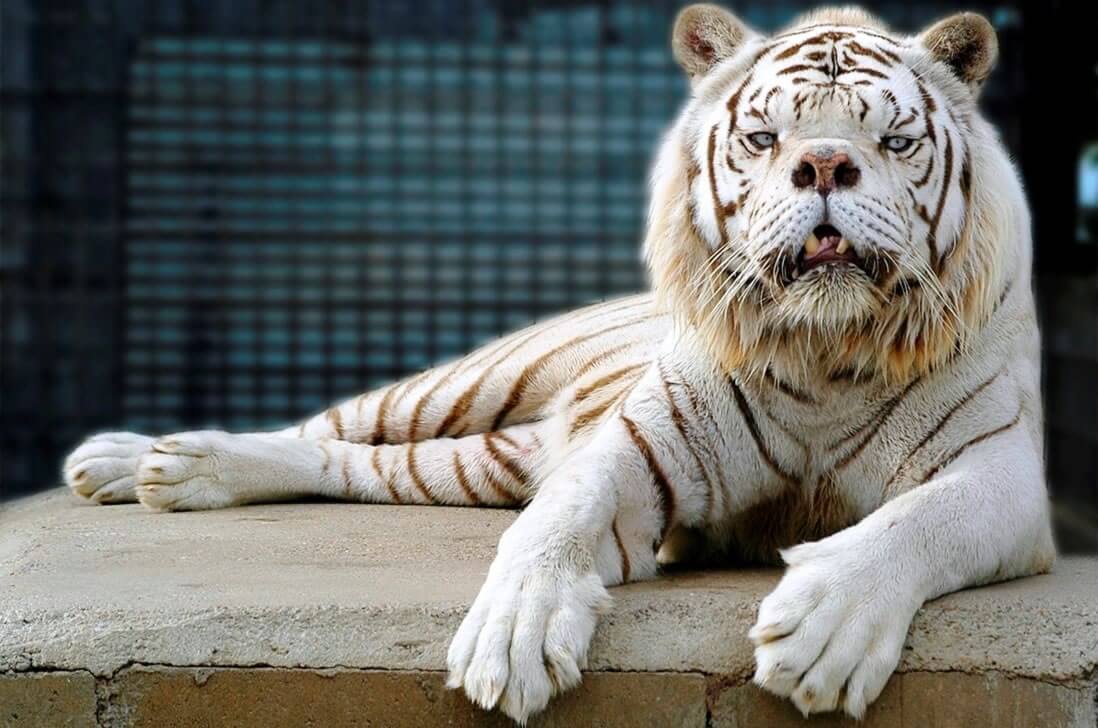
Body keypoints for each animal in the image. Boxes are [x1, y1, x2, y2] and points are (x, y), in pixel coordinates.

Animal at [62, 5, 1054, 724]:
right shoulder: (642, 445)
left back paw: (161, 471)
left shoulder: (1001, 475)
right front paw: (511, 638)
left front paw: (824, 627)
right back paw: (143, 461)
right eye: (765, 139)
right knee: (325, 428)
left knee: (354, 465)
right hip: (463, 387)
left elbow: (918, 523)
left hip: (479, 462)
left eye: (895, 142)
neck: (825, 351)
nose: (823, 165)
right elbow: (553, 524)